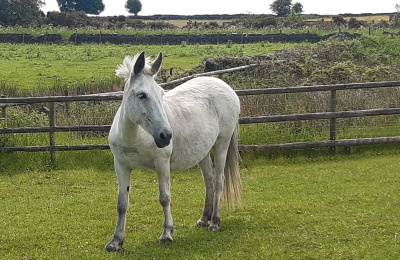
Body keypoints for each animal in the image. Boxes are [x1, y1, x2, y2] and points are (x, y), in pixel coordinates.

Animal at [105, 51, 241, 252]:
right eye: (142, 95)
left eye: (162, 94)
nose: (166, 135)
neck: (134, 136)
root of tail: (225, 87)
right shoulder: (121, 166)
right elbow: (122, 204)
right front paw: (115, 241)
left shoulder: (162, 164)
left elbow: (165, 198)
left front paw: (167, 234)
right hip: (203, 152)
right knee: (209, 181)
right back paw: (204, 219)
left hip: (221, 145)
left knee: (218, 181)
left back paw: (215, 222)